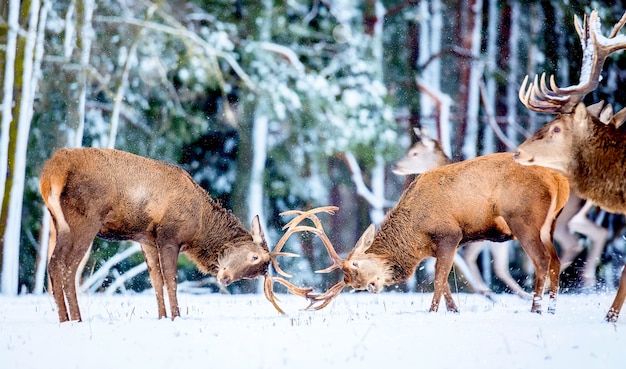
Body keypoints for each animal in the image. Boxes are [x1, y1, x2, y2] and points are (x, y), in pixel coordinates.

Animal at [39, 147, 330, 322]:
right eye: (255, 257)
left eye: (254, 273)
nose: (225, 279)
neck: (199, 226)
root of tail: (51, 173)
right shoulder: (169, 235)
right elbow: (172, 280)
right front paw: (176, 316)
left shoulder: (146, 239)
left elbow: (155, 281)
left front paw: (161, 317)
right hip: (85, 219)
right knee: (66, 266)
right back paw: (75, 319)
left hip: (55, 223)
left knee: (52, 264)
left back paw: (63, 318)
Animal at [300, 152, 568, 314]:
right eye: (352, 285)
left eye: (355, 264)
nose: (370, 287)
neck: (414, 236)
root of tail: (558, 180)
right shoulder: (435, 248)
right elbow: (444, 280)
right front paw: (454, 310)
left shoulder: (450, 235)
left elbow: (439, 280)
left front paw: (432, 311)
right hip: (550, 224)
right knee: (556, 260)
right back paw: (552, 307)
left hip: (523, 219)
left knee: (542, 260)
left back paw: (536, 308)